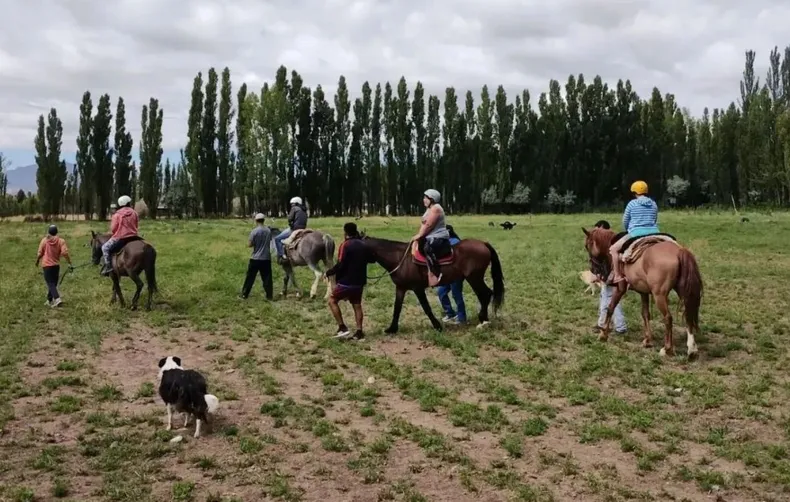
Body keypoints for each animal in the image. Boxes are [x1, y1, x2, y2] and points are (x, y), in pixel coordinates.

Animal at [362, 237, 504, 336]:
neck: (399, 258)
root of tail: (483, 243)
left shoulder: (417, 288)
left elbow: (426, 307)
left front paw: (437, 326)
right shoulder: (401, 288)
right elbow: (397, 308)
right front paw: (392, 329)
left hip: (474, 278)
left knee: (485, 294)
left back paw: (483, 321)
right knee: (486, 294)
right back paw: (483, 319)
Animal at [580, 227, 704, 360]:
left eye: (587, 245)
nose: (593, 269)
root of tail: (679, 251)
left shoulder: (620, 289)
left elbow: (610, 308)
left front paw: (603, 335)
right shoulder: (643, 292)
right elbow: (645, 314)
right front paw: (647, 340)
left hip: (659, 295)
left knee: (668, 318)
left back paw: (667, 349)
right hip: (683, 292)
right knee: (688, 315)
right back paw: (692, 350)